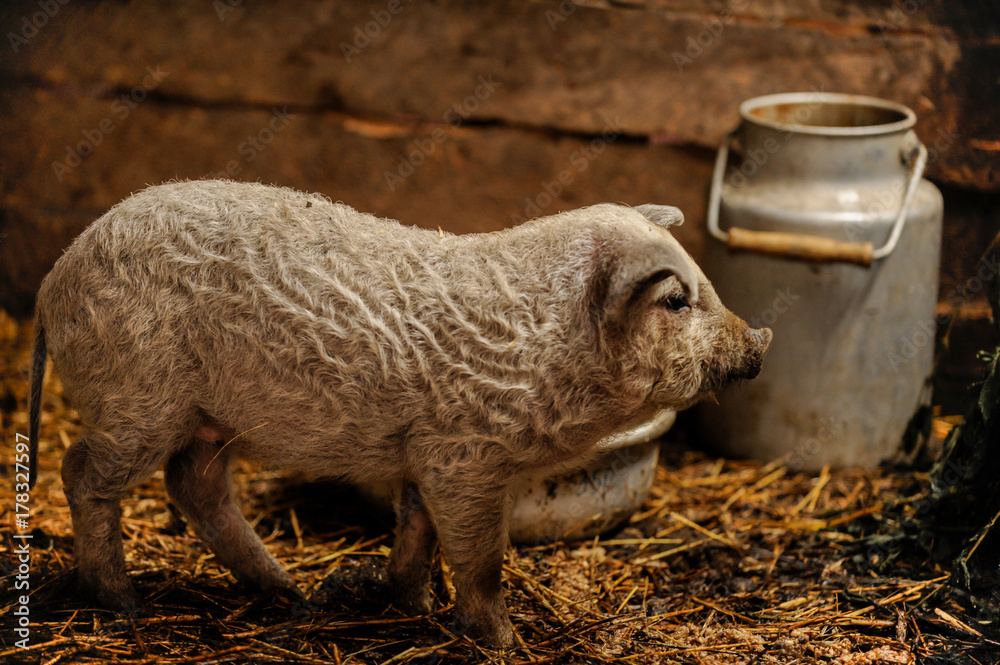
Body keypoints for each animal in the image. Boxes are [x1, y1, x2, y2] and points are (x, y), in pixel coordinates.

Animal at [28, 180, 771, 647]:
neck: (544, 346)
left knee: (194, 486)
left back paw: (288, 592)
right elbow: (480, 558)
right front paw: (505, 640)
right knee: (81, 471)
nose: (760, 341)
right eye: (675, 300)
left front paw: (411, 605)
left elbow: (417, 528)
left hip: (206, 419)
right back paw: (126, 604)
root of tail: (55, 276)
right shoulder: (466, 459)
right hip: (139, 400)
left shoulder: (425, 454)